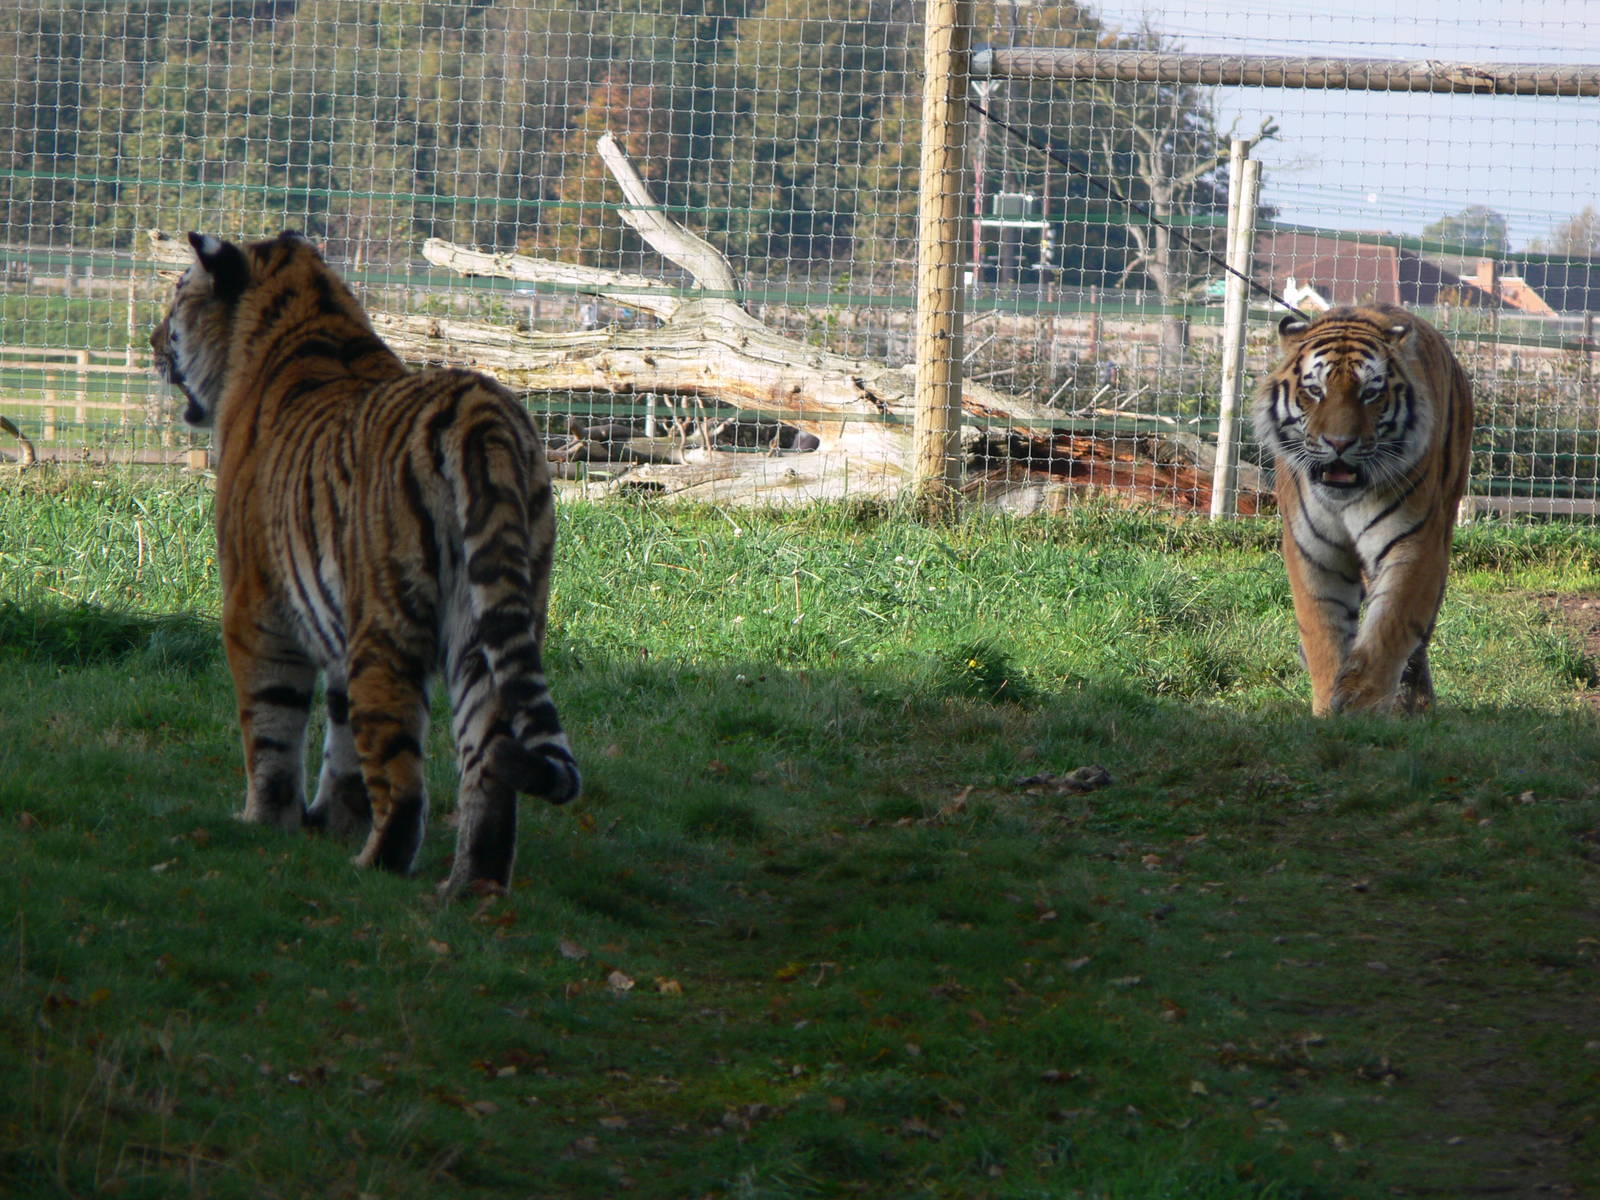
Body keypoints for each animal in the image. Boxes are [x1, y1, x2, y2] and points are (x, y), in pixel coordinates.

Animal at [150, 230, 579, 894]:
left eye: (177, 297)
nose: (150, 342)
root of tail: (479, 412)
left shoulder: (255, 606)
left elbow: (271, 730)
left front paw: (263, 822)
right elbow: (342, 740)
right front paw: (331, 822)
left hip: (389, 622)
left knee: (403, 778)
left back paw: (375, 867)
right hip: (491, 624)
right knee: (488, 767)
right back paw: (470, 890)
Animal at [1252, 303, 1473, 716]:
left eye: (1370, 393)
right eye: (1315, 391)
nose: (1339, 443)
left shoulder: (1413, 545)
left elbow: (1389, 627)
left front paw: (1361, 708)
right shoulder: (1312, 552)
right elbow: (1322, 631)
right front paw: (1327, 706)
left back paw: (1415, 702)